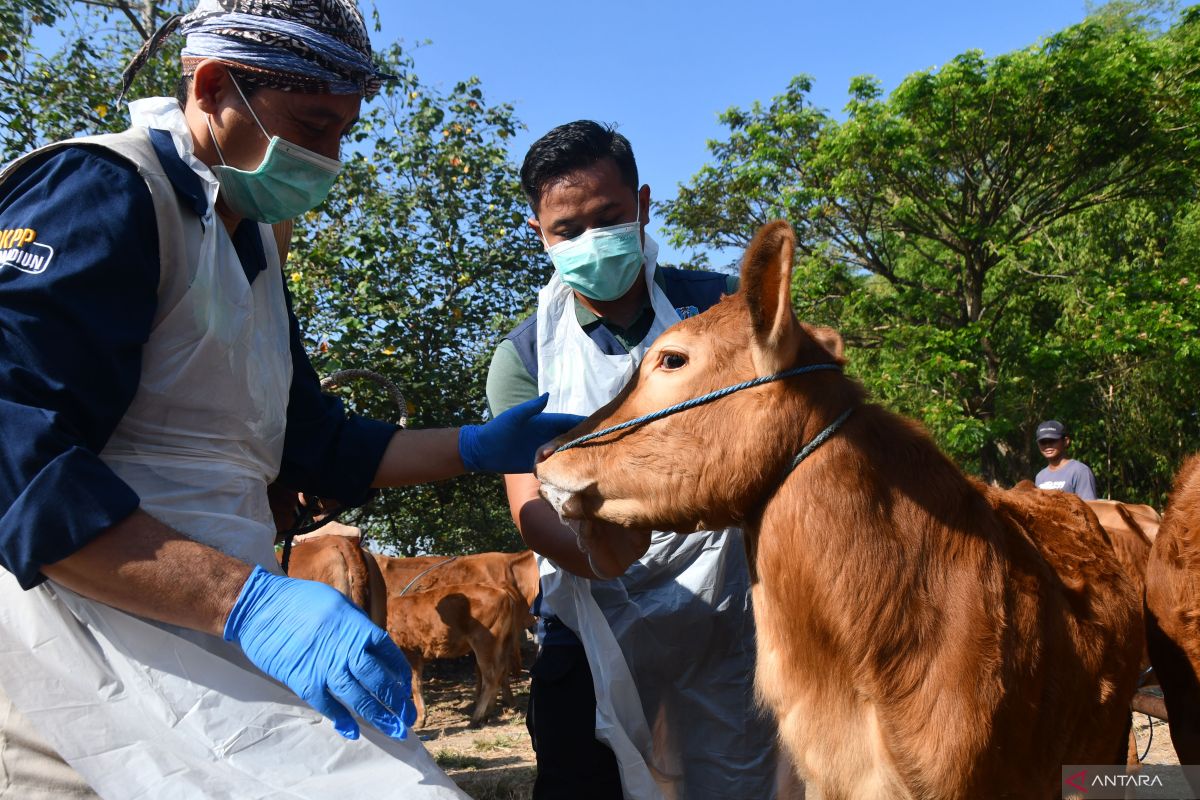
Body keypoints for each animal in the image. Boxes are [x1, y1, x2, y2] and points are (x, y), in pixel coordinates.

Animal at [384, 585, 516, 729]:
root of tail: (502, 593)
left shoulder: (411, 653)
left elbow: (415, 684)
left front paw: (419, 720)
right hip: (500, 644)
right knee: (500, 672)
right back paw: (486, 715)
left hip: (483, 641)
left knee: (490, 677)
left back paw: (475, 719)